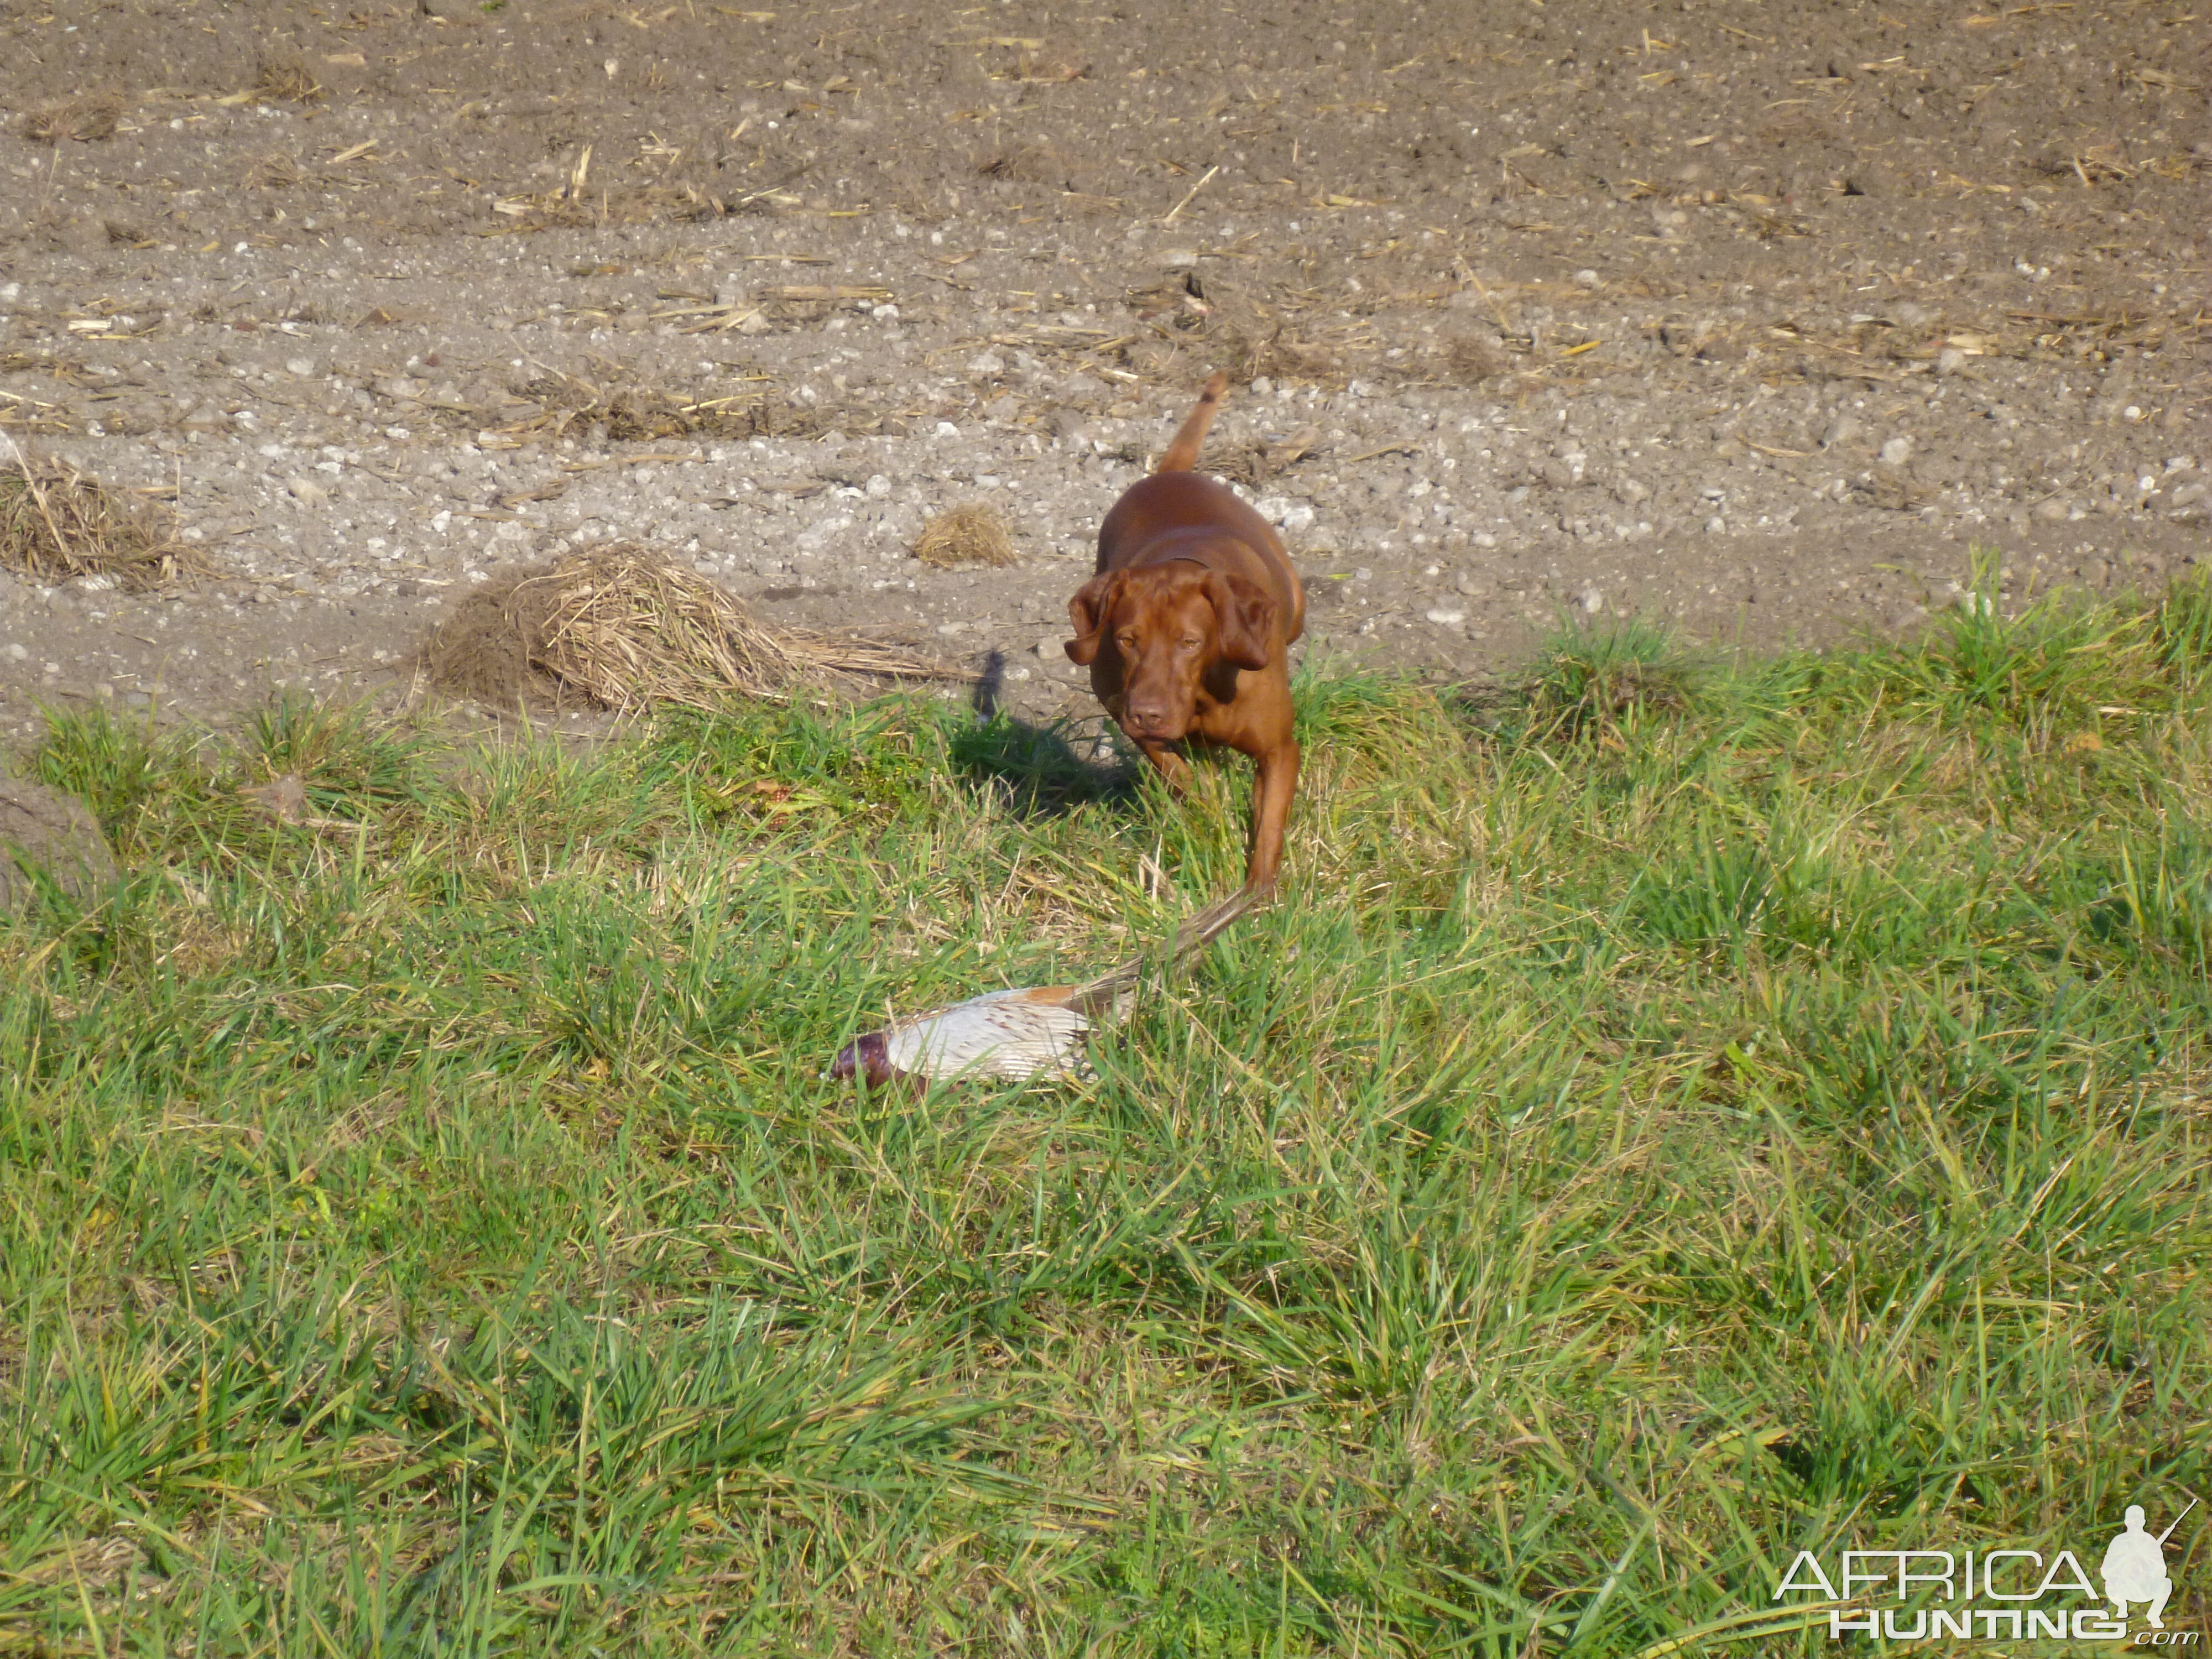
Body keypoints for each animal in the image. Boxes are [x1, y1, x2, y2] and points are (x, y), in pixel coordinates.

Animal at [1066, 376, 1301, 898]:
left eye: (1190, 642)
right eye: (1127, 640)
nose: (1148, 713)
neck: (1205, 692)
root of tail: (1167, 476)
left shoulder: (1278, 751)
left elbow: (1269, 829)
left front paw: (1258, 896)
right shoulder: (1125, 708)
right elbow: (1183, 777)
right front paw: (1210, 808)